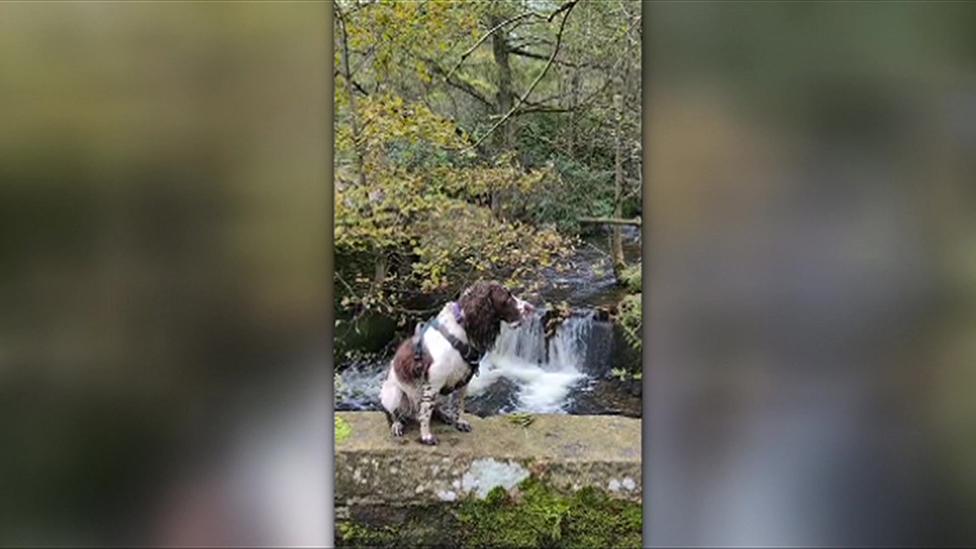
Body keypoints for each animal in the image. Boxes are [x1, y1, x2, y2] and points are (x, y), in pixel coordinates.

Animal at [380, 280, 532, 444]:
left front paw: (459, 422)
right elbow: (425, 412)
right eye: (507, 297)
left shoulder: (463, 381)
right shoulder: (433, 382)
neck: (462, 328)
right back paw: (397, 425)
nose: (531, 308)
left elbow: (459, 404)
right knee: (393, 413)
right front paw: (426, 436)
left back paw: (444, 415)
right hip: (394, 394)